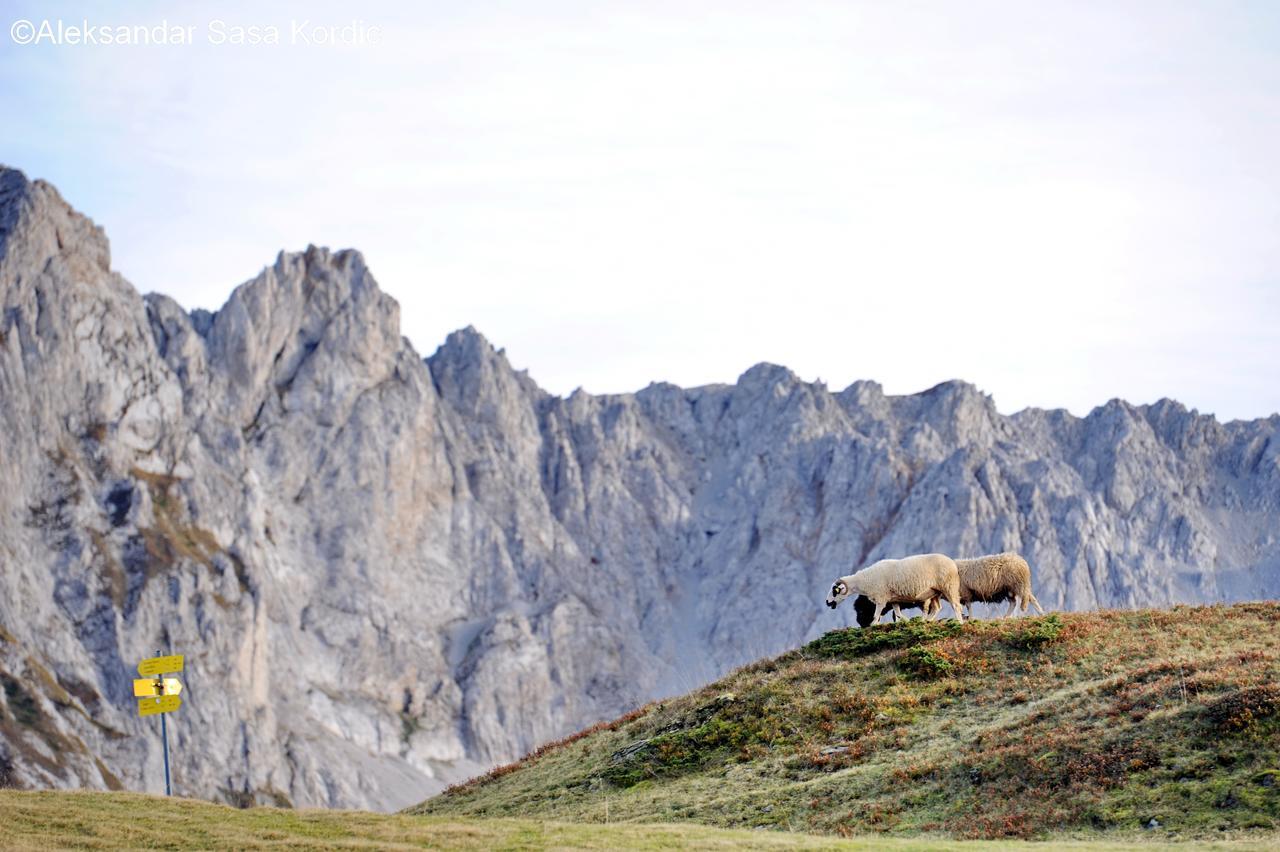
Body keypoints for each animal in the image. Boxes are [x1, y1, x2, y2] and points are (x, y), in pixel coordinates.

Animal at [824, 555, 962, 621]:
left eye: (835, 591)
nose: (827, 602)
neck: (864, 580)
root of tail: (953, 563)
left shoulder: (881, 599)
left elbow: (875, 616)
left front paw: (873, 626)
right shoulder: (893, 600)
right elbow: (899, 615)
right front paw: (908, 622)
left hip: (948, 587)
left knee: (956, 606)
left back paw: (960, 623)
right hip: (935, 593)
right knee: (937, 608)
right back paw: (926, 621)